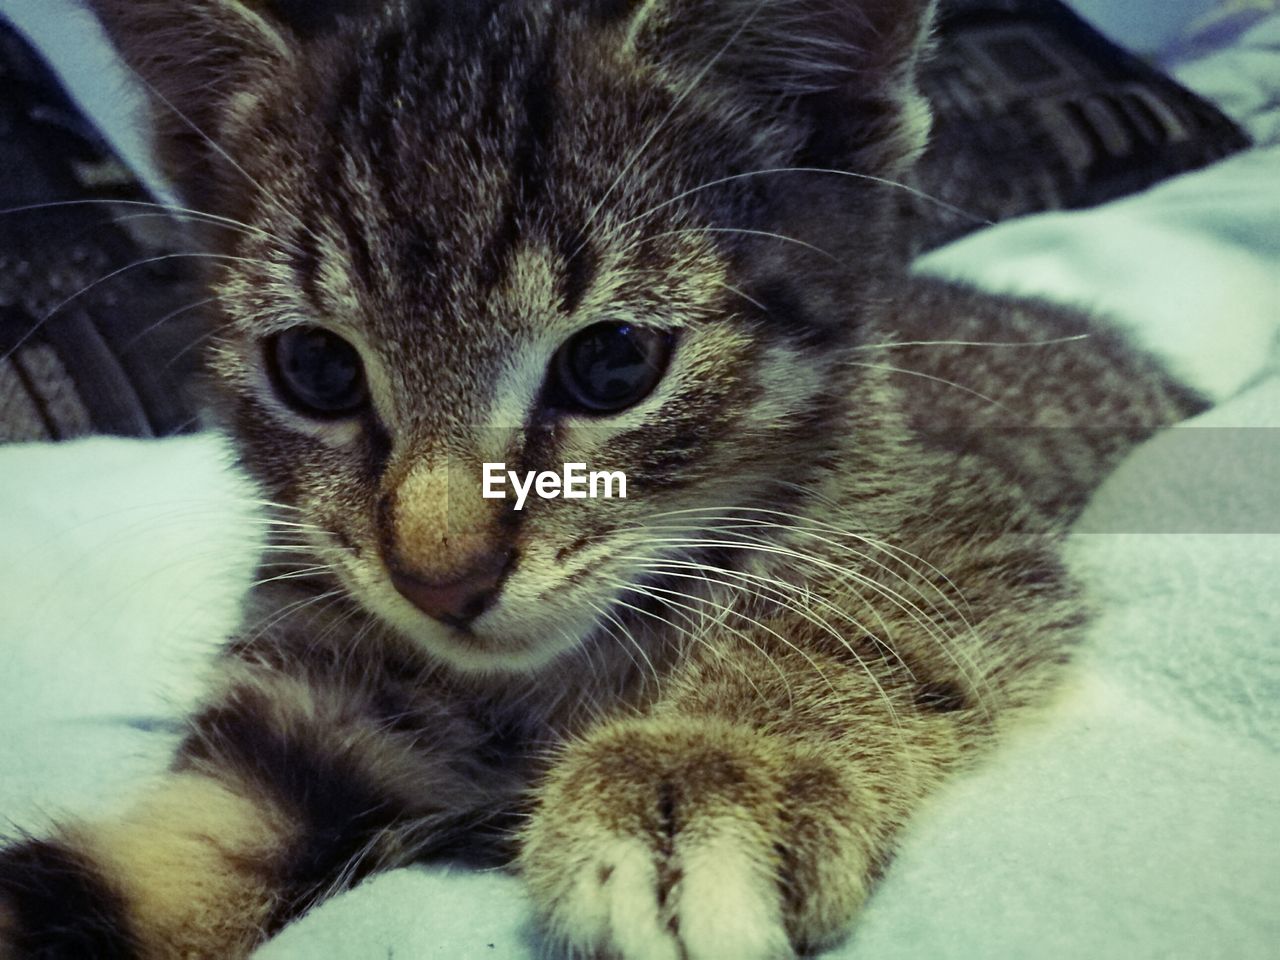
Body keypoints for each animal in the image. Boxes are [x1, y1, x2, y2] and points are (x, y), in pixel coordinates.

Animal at [0, 1, 1203, 960]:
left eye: (614, 362)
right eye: (316, 368)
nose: (440, 579)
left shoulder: (944, 517)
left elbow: (854, 625)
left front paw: (703, 778)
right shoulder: (293, 717)